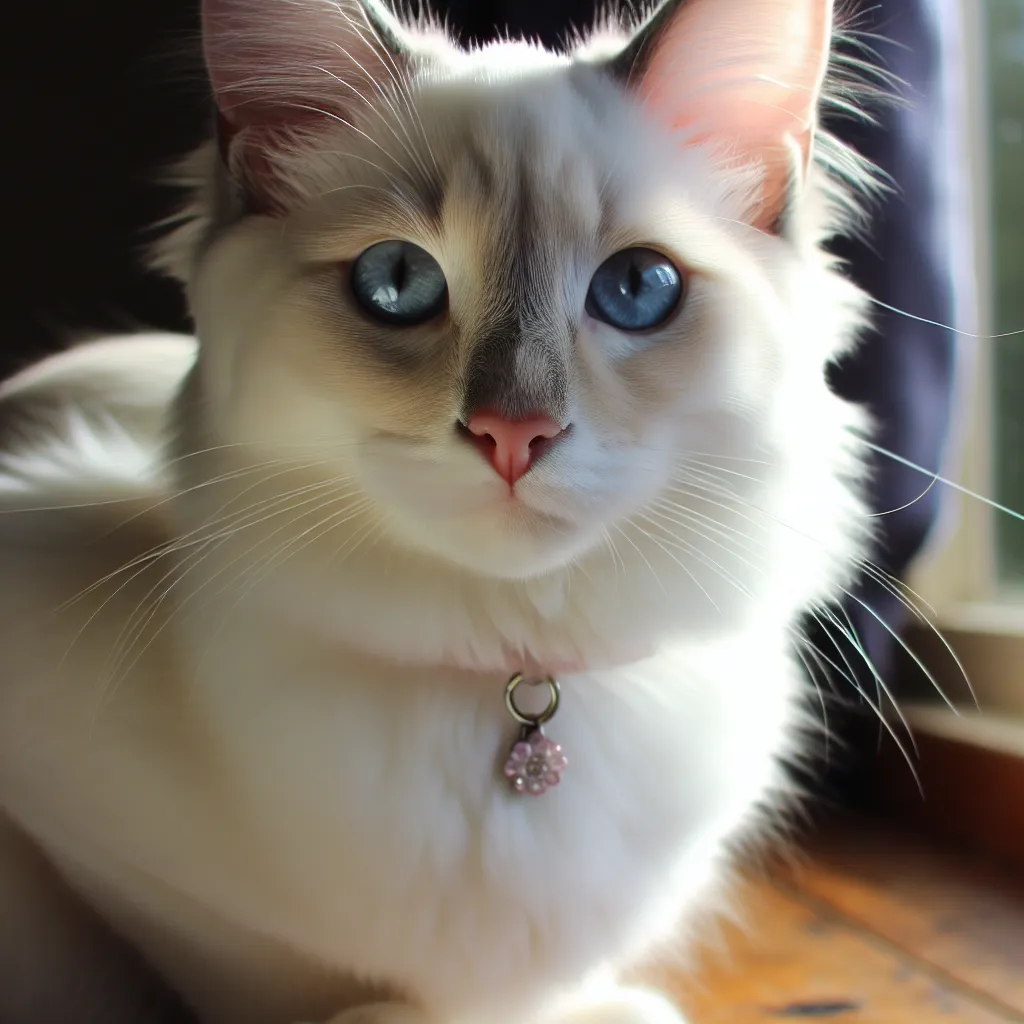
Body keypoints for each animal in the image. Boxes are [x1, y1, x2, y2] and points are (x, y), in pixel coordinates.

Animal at [0, 2, 880, 1024]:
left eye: (636, 289)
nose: (514, 433)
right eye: (396, 282)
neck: (513, 679)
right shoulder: (103, 859)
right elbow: (305, 990)